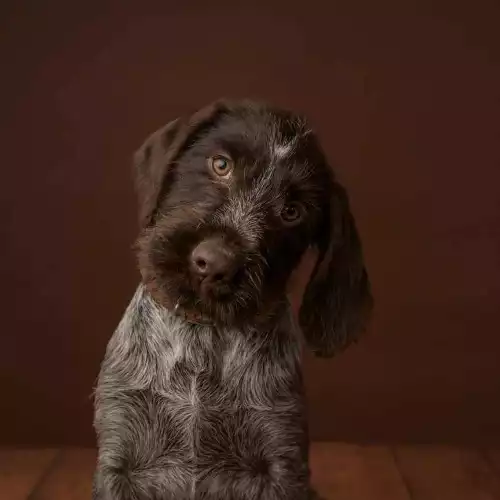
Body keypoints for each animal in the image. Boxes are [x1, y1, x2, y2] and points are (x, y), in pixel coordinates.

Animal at [94, 98, 372, 500]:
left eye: (292, 212)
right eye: (221, 165)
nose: (213, 263)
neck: (202, 338)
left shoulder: (279, 462)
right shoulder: (121, 459)